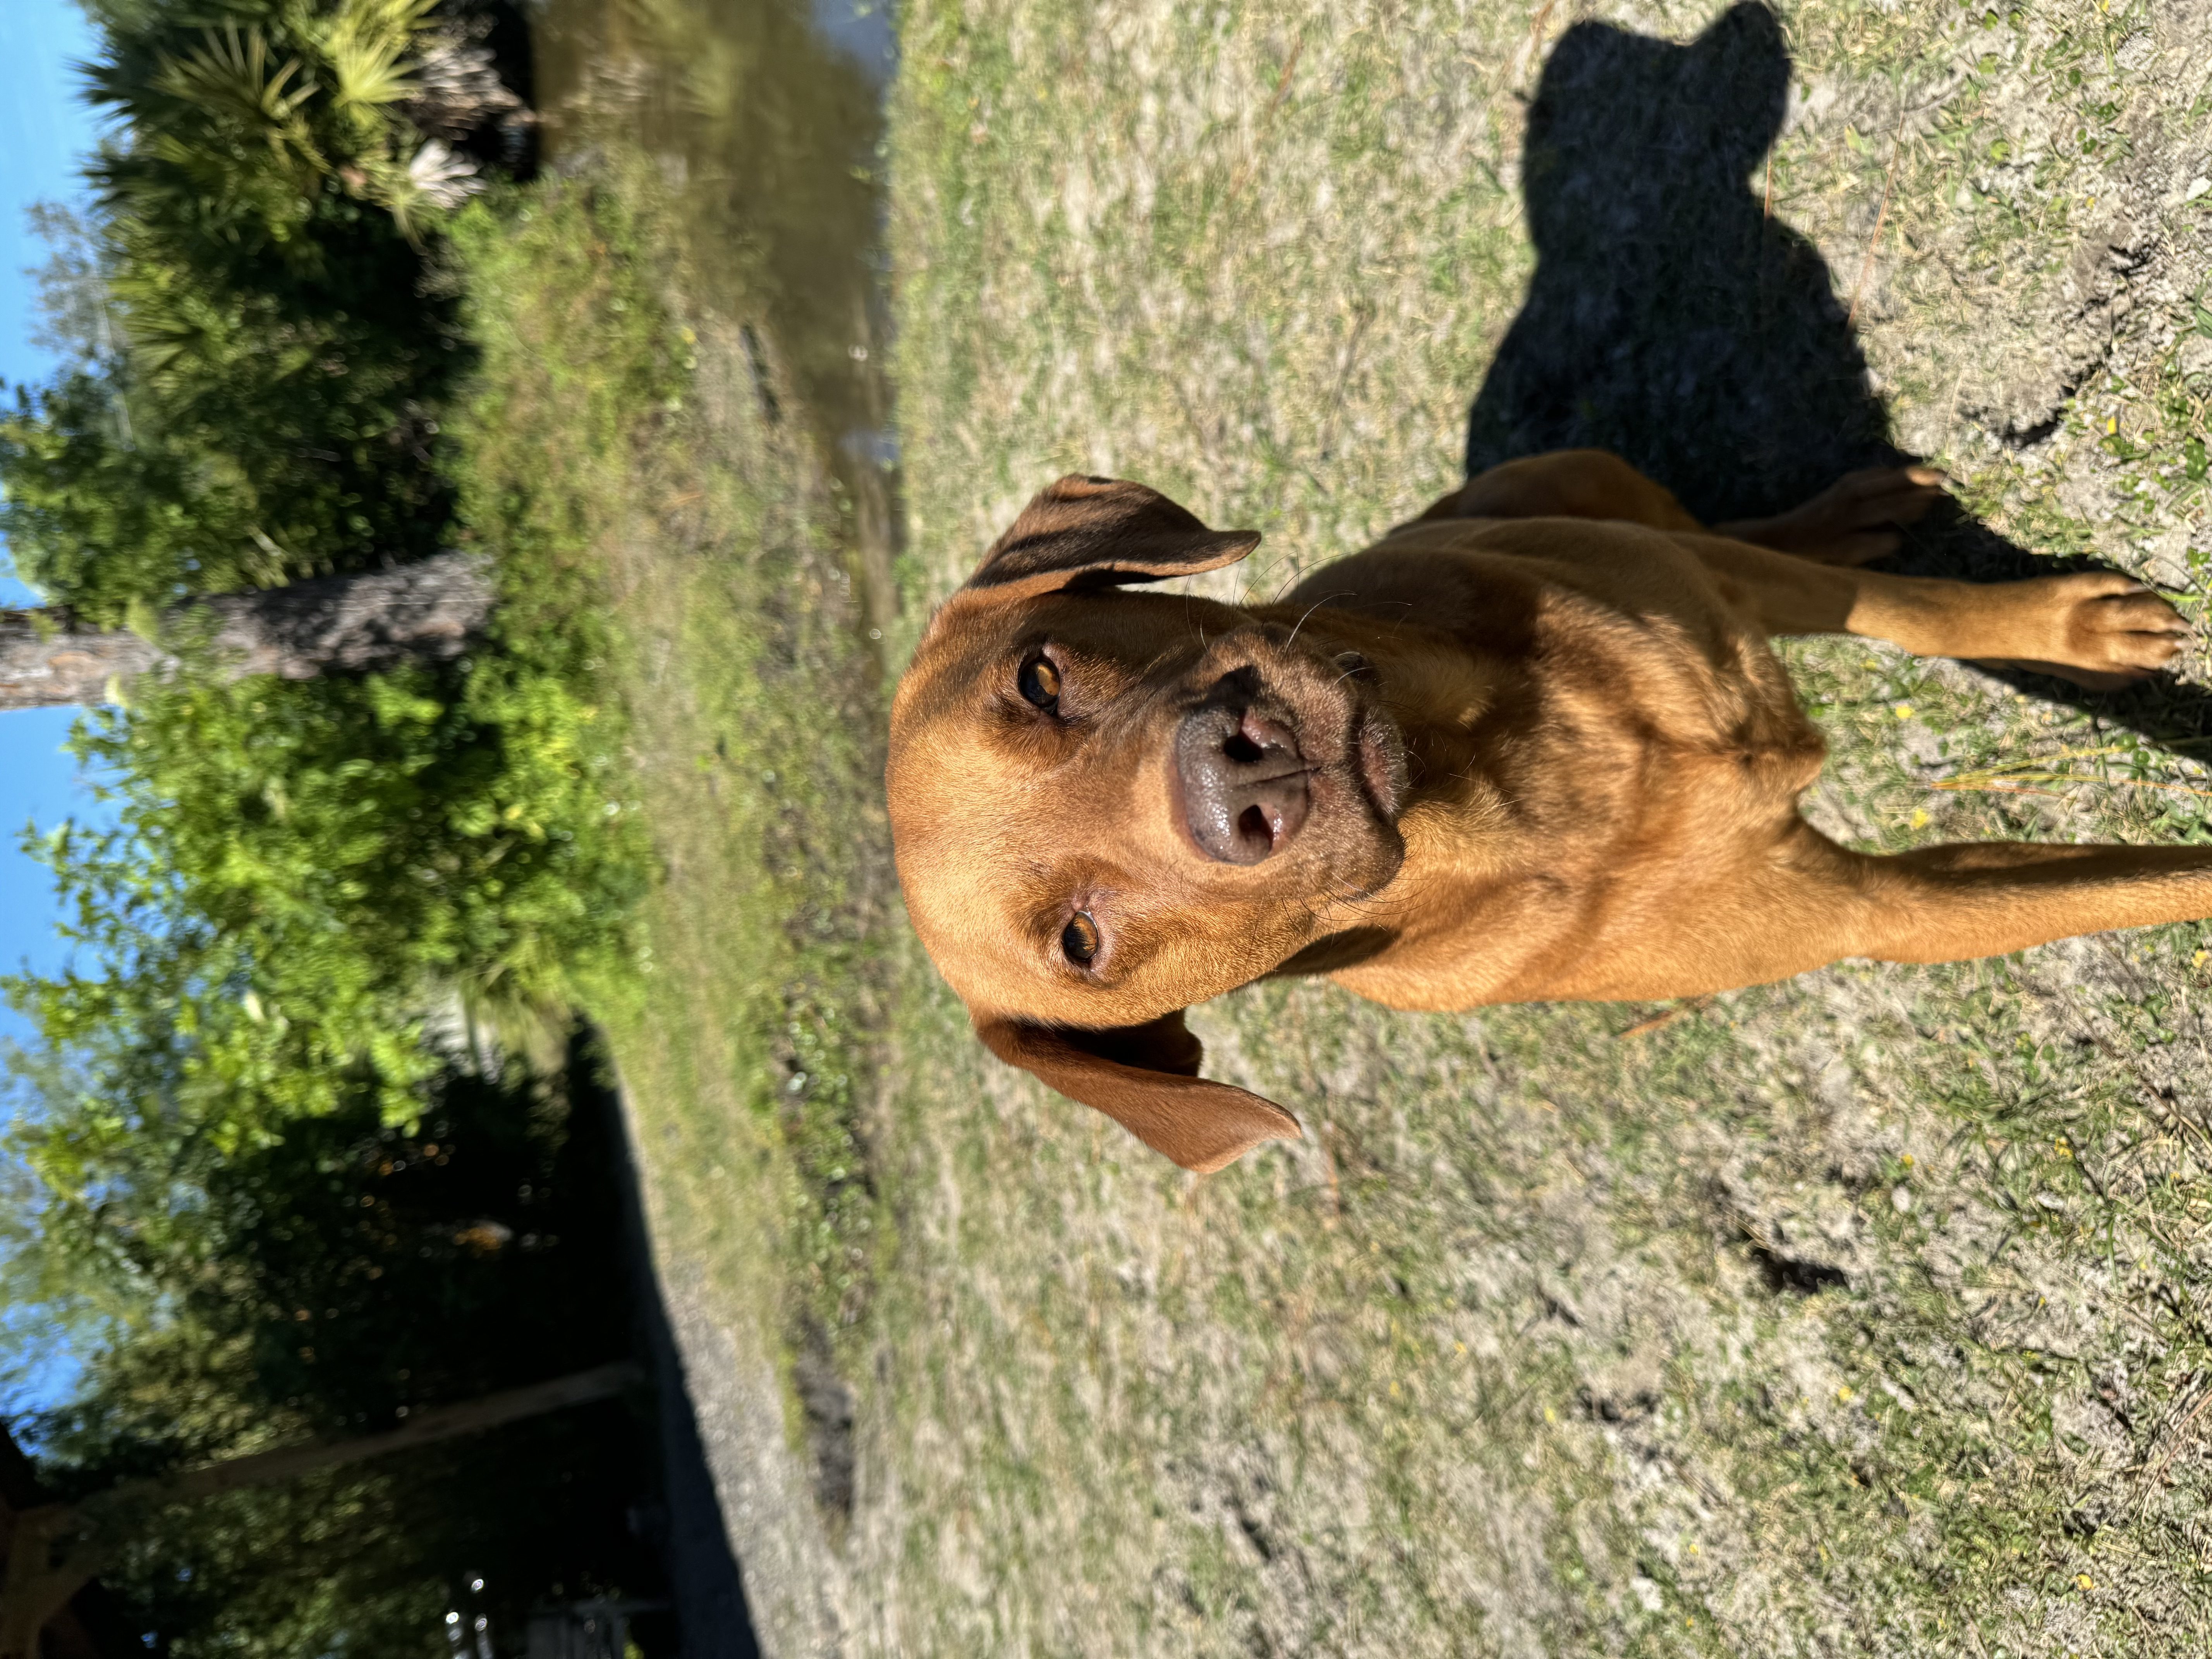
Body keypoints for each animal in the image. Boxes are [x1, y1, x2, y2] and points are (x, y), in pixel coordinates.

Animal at [889, 455, 2203, 1176]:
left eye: (1039, 677)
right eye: (1081, 944)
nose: (1236, 781)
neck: (1514, 788)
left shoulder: (1729, 593)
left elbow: (1915, 612)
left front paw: (2064, 628)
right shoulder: (1882, 914)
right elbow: (2142, 887)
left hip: (1579, 476)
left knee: (1727, 529)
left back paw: (1840, 511)